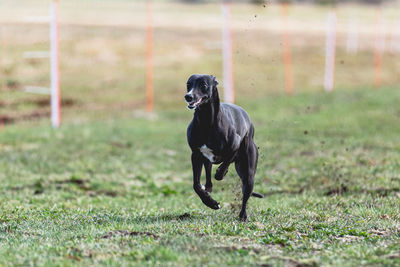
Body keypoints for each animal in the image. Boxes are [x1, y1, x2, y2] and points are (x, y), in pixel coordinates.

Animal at [184, 74, 262, 222]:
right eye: (188, 85)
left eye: (203, 85)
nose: (188, 96)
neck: (206, 121)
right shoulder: (195, 155)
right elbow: (196, 185)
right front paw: (211, 202)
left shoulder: (235, 146)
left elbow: (225, 163)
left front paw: (221, 172)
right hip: (207, 161)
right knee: (208, 180)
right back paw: (208, 190)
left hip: (248, 173)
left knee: (246, 194)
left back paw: (242, 215)